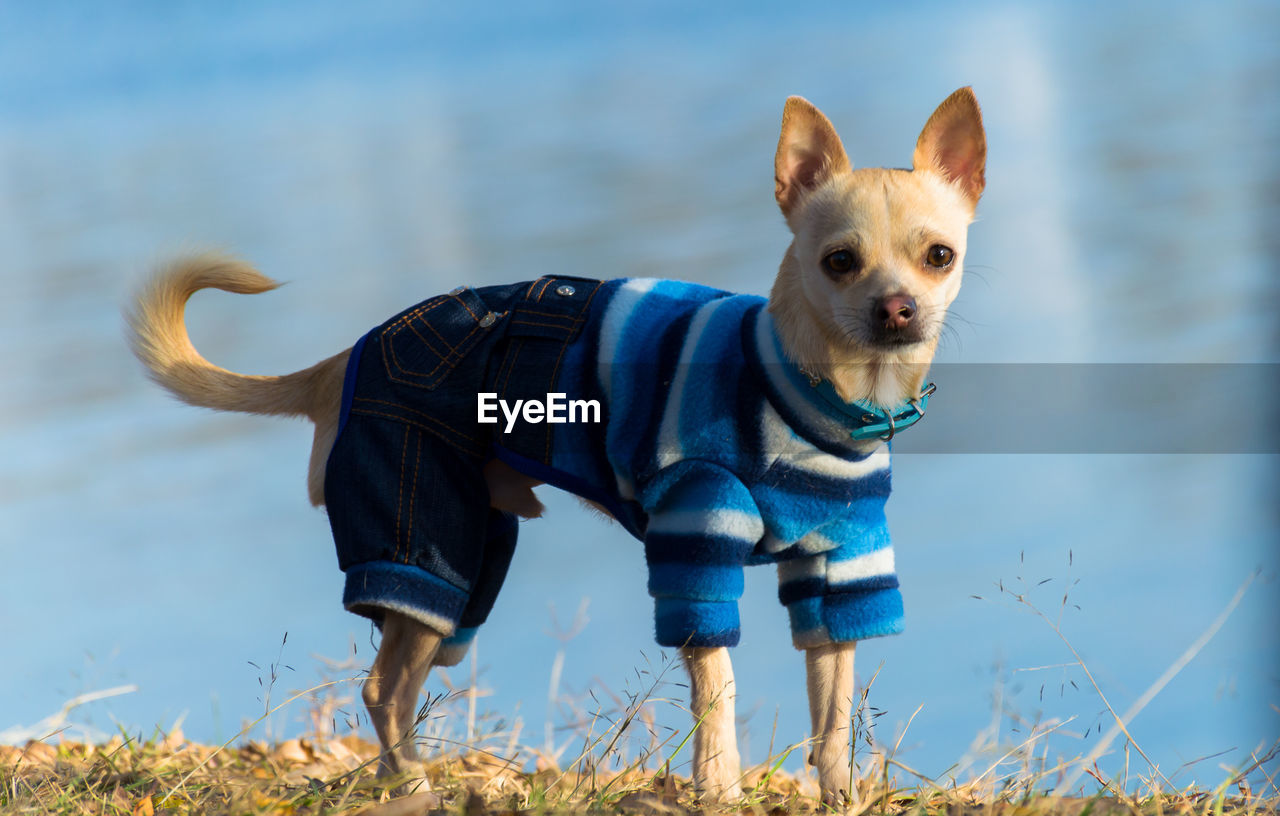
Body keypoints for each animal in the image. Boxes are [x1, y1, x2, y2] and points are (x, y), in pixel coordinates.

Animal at [129, 88, 983, 808]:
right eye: (839, 261)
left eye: (939, 256)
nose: (897, 308)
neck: (813, 398)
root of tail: (349, 358)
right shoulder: (695, 545)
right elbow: (719, 688)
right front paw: (719, 788)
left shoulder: (842, 571)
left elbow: (833, 714)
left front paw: (842, 797)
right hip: (424, 535)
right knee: (381, 689)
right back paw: (417, 788)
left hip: (470, 561)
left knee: (397, 684)